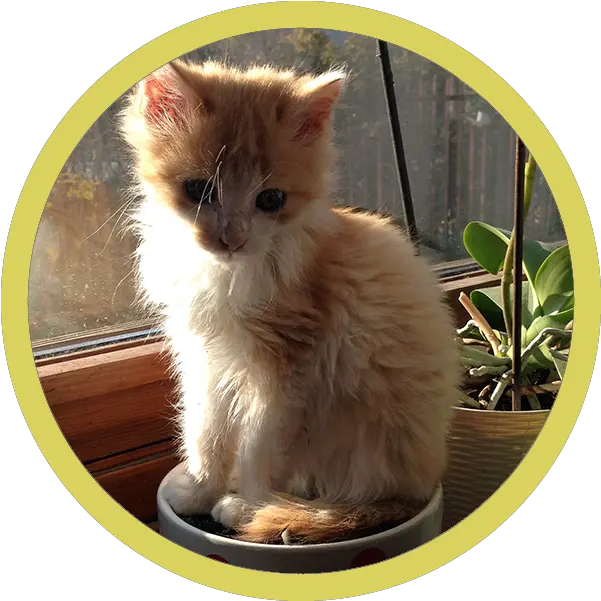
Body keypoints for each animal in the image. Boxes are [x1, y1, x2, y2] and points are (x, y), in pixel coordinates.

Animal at [120, 59, 460, 544]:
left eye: (271, 199)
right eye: (198, 190)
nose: (232, 238)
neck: (230, 275)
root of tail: (420, 488)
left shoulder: (288, 376)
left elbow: (258, 450)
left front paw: (247, 507)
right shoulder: (205, 359)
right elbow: (206, 430)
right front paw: (201, 491)